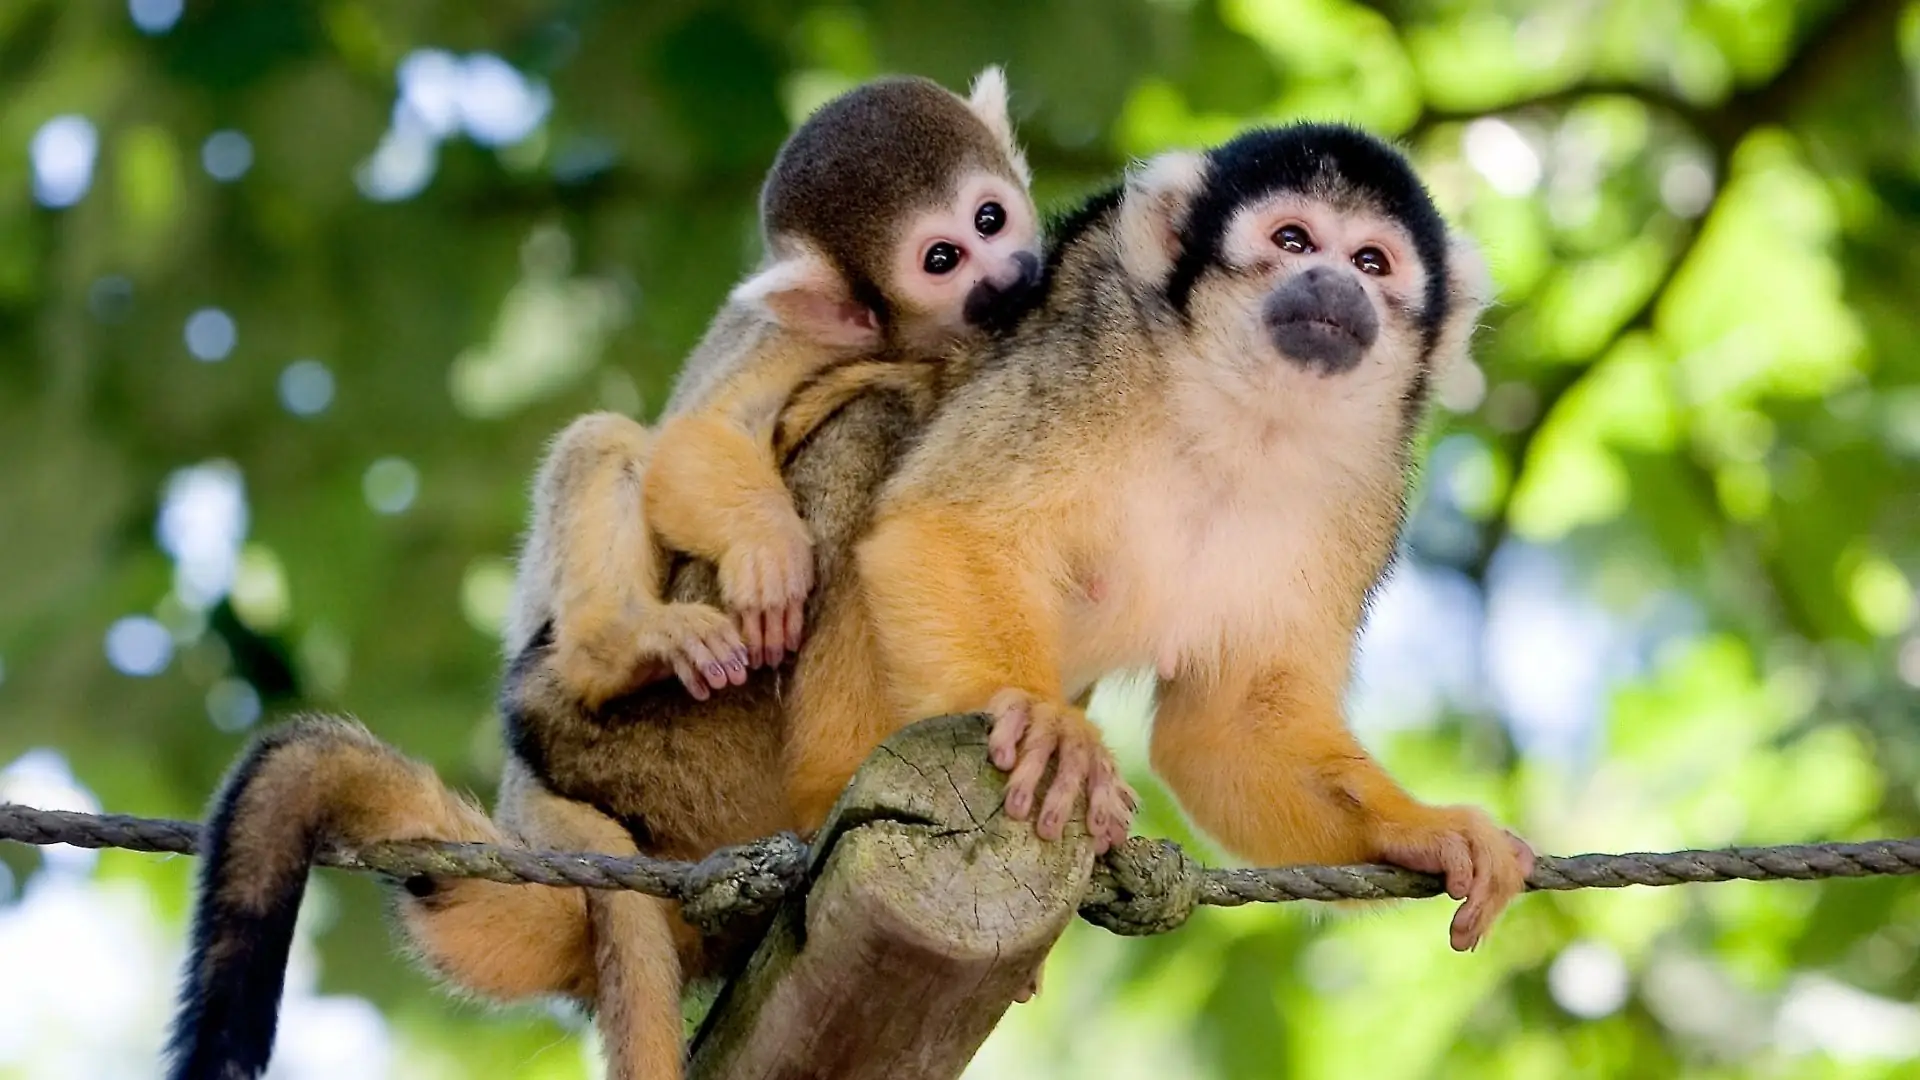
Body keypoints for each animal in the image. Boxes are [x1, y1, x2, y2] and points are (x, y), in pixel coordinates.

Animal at [509, 66, 1043, 713]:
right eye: (943, 258)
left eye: (990, 218)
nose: (1010, 273)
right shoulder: (801, 335)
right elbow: (702, 431)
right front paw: (768, 552)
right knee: (602, 438)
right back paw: (620, 645)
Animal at [779, 122, 1537, 952]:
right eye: (1294, 240)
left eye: (1372, 261)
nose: (1336, 284)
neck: (1246, 413)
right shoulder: (1096, 354)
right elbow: (946, 527)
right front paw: (1046, 730)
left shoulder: (1369, 486)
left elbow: (1225, 731)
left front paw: (1420, 829)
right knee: (876, 418)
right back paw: (823, 793)